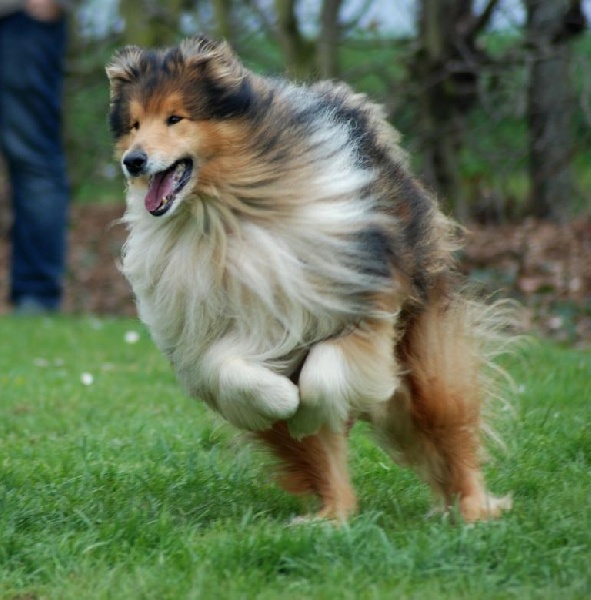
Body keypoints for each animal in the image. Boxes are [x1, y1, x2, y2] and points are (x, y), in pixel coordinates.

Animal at [106, 35, 513, 523]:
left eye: (175, 117)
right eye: (133, 124)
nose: (133, 161)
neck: (223, 217)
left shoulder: (359, 309)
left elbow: (322, 377)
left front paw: (303, 406)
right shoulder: (216, 334)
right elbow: (230, 372)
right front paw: (283, 399)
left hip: (424, 358)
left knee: (449, 424)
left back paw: (473, 512)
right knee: (327, 460)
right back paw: (331, 518)